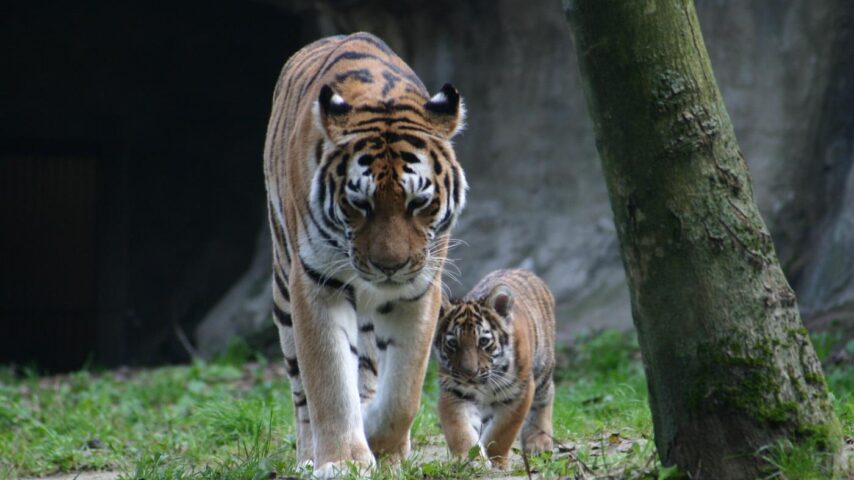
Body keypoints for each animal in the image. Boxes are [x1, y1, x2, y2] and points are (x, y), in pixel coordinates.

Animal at [262, 32, 467, 476]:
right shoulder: (317, 284)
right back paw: (308, 457)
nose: (389, 266)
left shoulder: (419, 289)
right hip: (284, 290)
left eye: (418, 202)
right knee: (301, 391)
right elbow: (329, 382)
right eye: (359, 204)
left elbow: (403, 392)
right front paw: (342, 462)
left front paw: (382, 444)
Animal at [433, 269, 556, 469]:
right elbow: (459, 429)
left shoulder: (519, 392)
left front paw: (498, 463)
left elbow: (502, 433)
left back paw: (539, 443)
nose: (469, 373)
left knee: (545, 397)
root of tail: (520, 269)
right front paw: (469, 460)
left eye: (483, 341)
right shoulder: (455, 392)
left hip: (543, 368)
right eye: (452, 343)